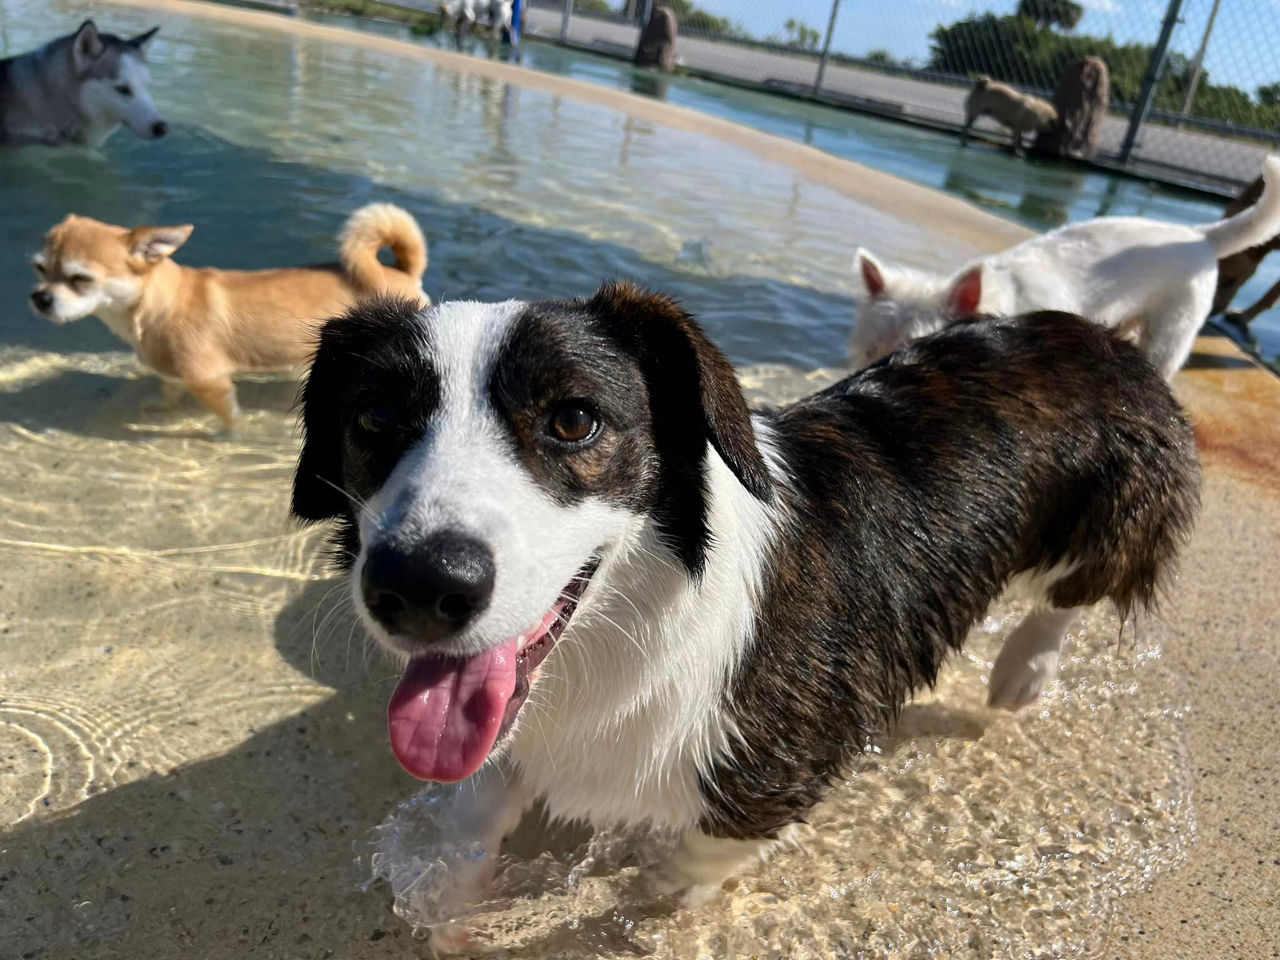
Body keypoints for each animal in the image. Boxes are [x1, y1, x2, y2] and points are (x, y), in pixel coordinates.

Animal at [30, 204, 427, 430]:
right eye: (40, 269)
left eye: (80, 279)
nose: (39, 297)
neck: (161, 304)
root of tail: (400, 272)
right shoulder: (173, 374)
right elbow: (169, 391)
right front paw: (161, 408)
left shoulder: (211, 383)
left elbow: (229, 417)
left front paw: (227, 435)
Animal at [293, 288, 1198, 926]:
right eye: (373, 416)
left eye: (575, 420)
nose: (416, 584)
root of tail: (1103, 340)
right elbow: (472, 815)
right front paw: (449, 906)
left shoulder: (765, 784)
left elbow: (678, 878)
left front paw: (642, 913)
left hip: (1109, 518)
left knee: (1072, 594)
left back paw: (1023, 672)